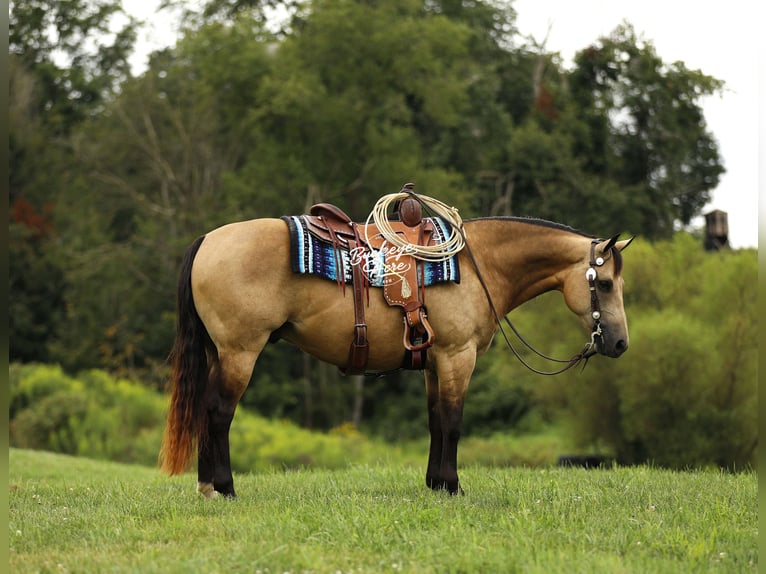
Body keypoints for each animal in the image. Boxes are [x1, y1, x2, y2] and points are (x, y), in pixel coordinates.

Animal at [159, 205, 633, 498]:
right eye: (607, 283)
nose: (619, 343)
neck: (479, 265)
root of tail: (207, 240)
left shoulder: (435, 363)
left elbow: (436, 422)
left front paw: (435, 484)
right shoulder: (458, 357)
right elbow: (453, 423)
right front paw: (453, 485)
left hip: (220, 352)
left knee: (205, 410)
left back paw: (206, 485)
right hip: (240, 351)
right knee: (219, 413)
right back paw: (223, 487)